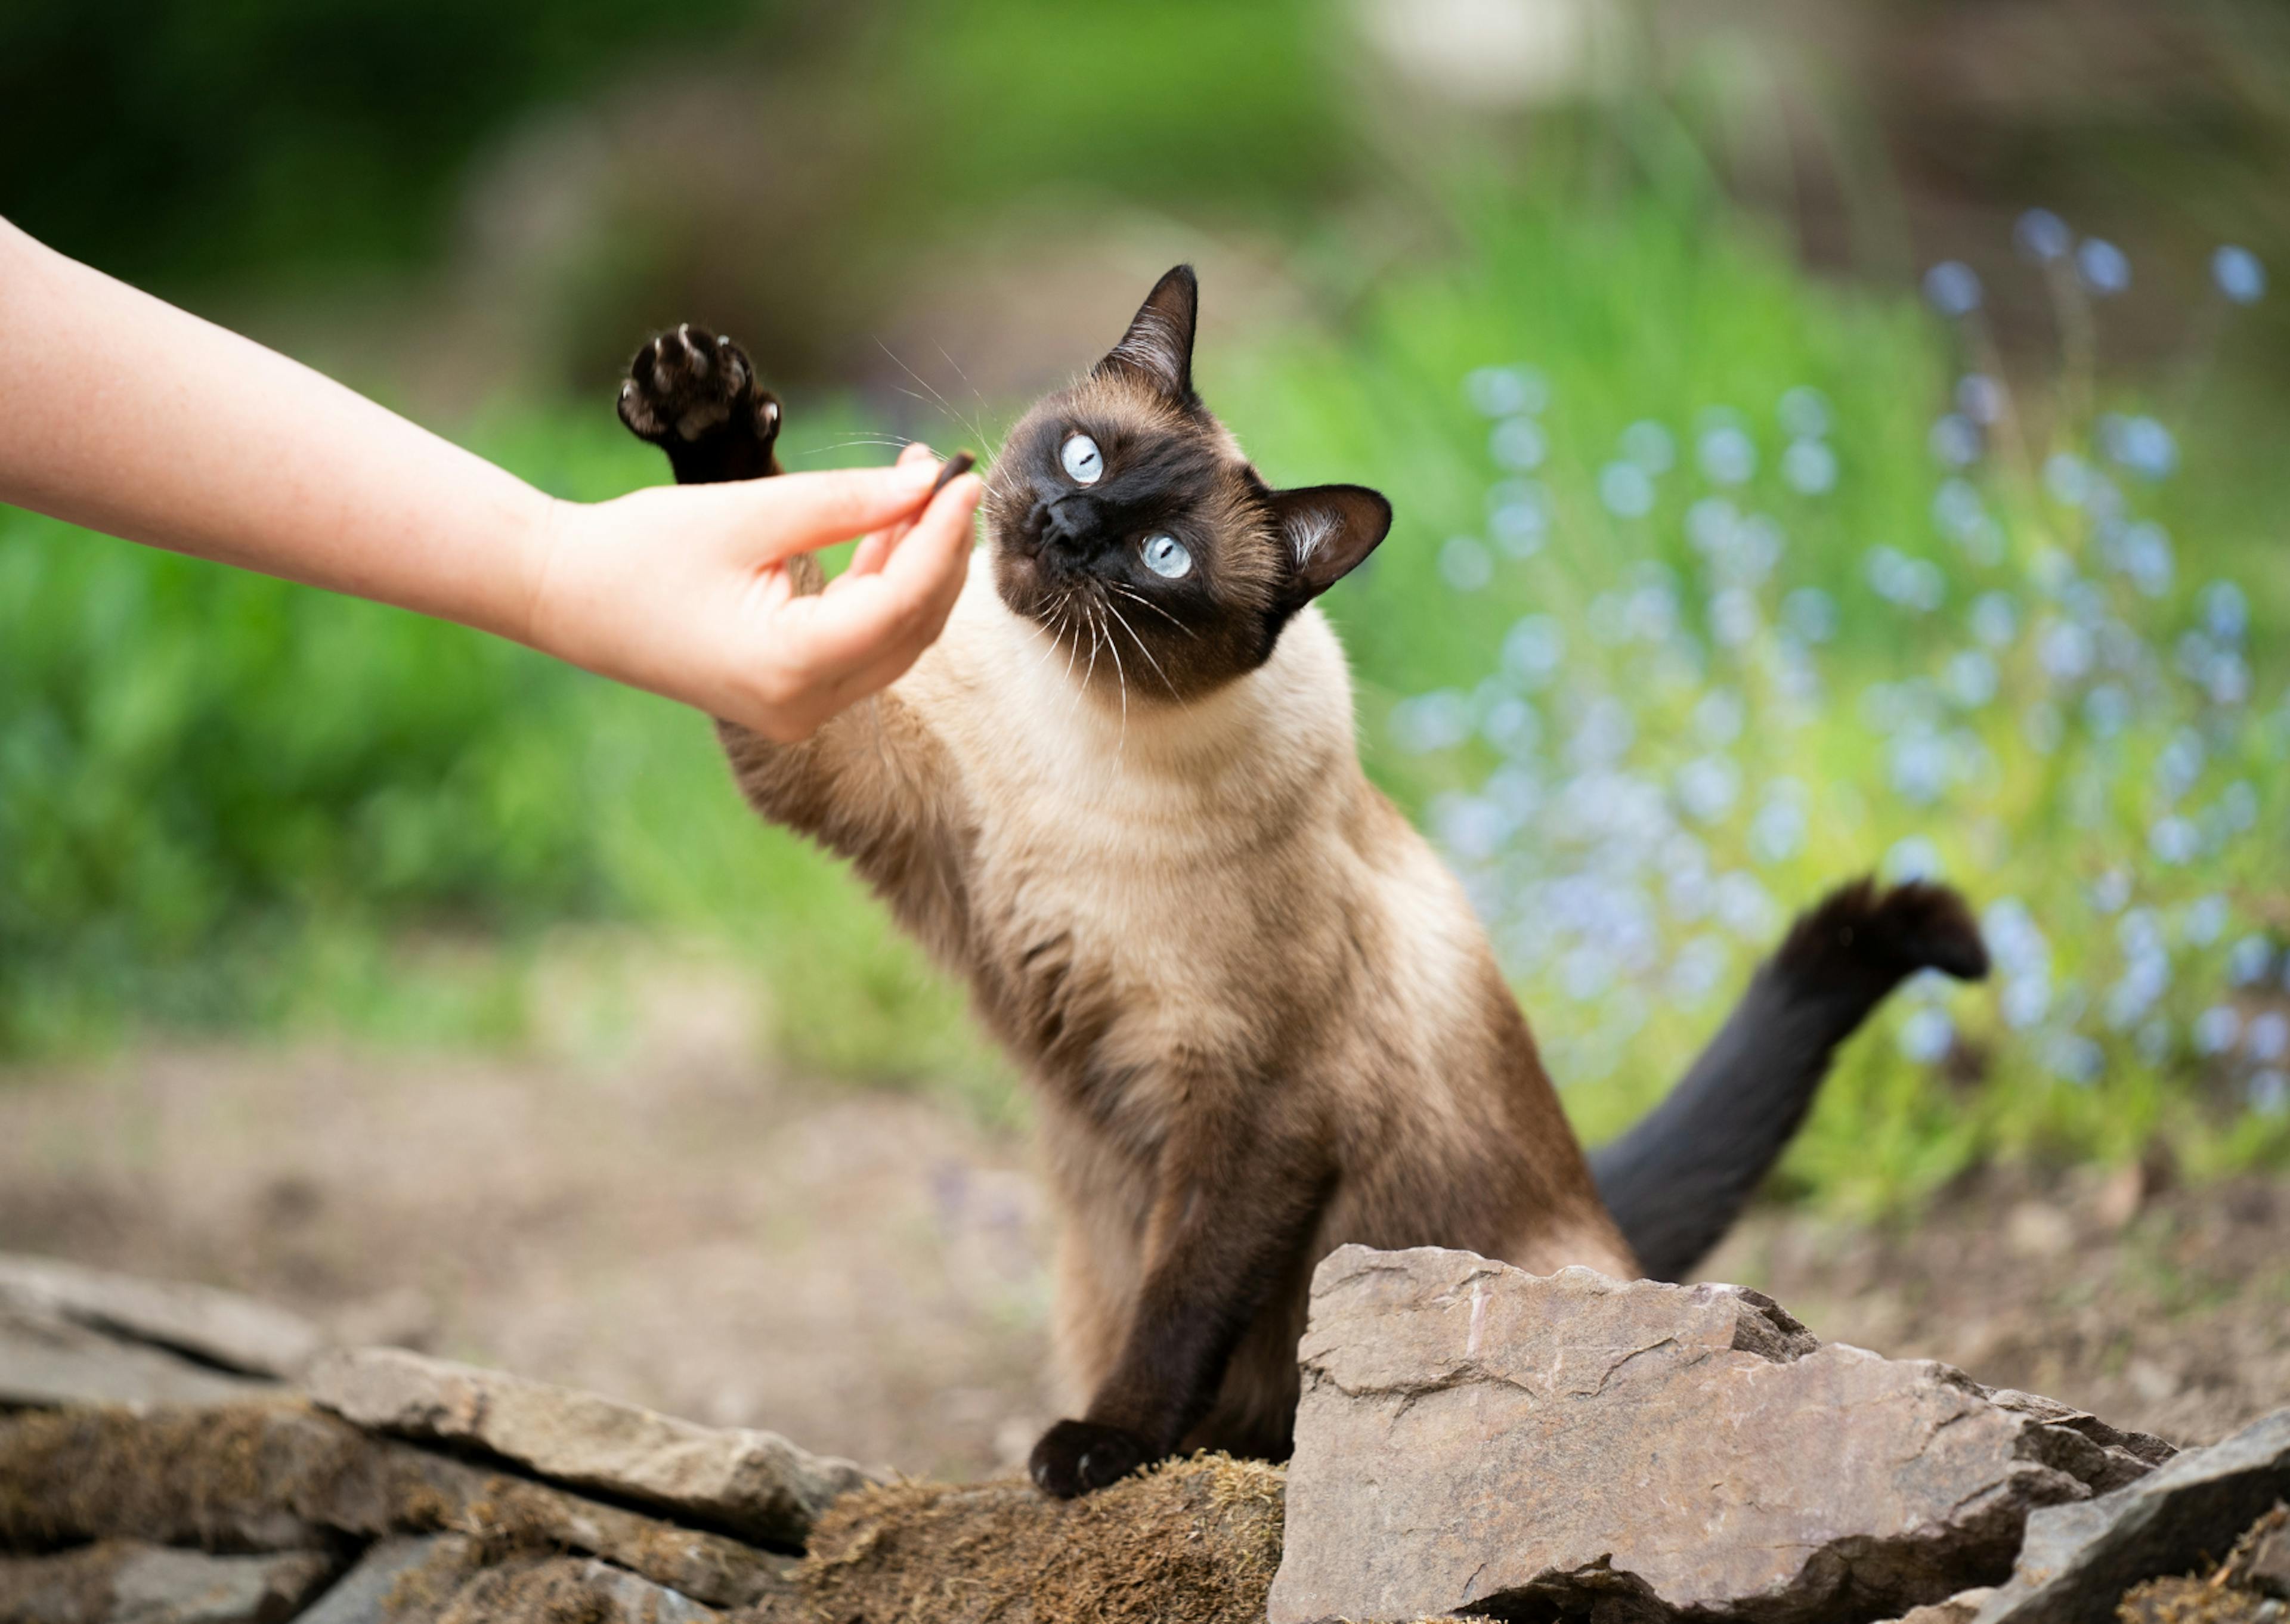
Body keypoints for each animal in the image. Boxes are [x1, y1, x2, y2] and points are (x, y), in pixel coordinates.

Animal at [614, 265, 1988, 1493]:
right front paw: (701, 406)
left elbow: (1180, 1307)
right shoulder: (849, 770)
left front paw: (1101, 1449)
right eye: (1085, 461)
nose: (1066, 528)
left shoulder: (1256, 1102)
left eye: (1165, 557)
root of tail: (1604, 1213)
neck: (1071, 724)